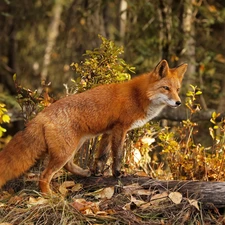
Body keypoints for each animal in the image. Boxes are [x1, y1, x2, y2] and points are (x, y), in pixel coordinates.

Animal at [0, 59, 186, 193]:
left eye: (177, 89)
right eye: (166, 88)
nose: (178, 103)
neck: (138, 96)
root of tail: (41, 115)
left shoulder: (108, 131)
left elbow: (101, 156)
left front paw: (98, 172)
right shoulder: (120, 128)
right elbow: (117, 155)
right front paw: (117, 173)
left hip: (74, 145)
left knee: (68, 165)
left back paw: (84, 173)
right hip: (66, 150)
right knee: (44, 177)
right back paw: (51, 198)